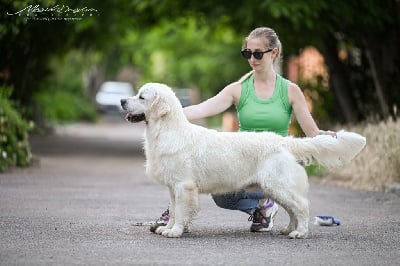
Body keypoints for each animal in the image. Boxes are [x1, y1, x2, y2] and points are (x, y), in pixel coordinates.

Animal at [120, 82, 368, 239]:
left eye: (141, 96)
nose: (122, 100)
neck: (166, 130)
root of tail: (285, 141)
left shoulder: (184, 186)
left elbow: (180, 211)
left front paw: (176, 231)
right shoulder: (173, 187)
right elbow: (173, 209)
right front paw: (167, 228)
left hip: (278, 184)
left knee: (302, 206)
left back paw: (300, 233)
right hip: (276, 187)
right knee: (291, 209)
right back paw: (288, 230)